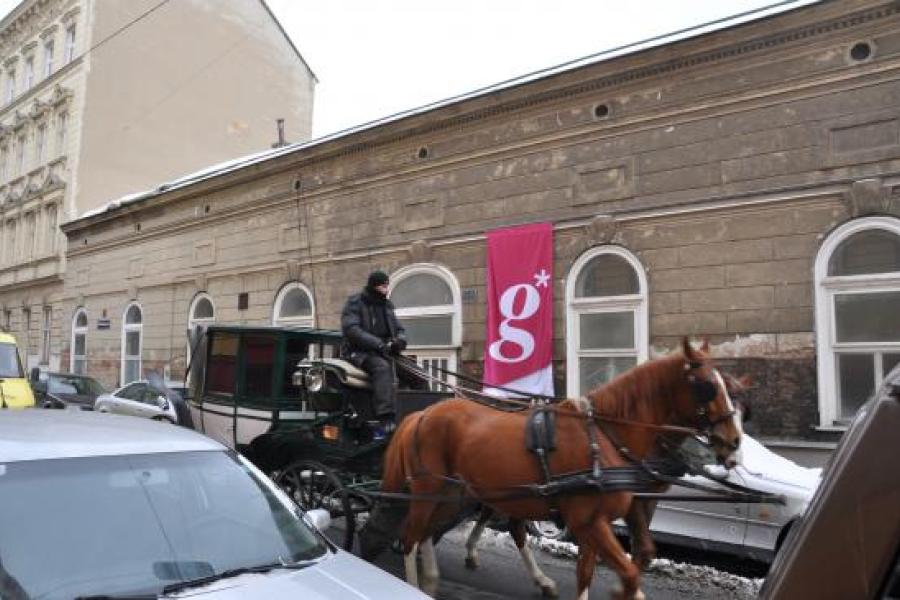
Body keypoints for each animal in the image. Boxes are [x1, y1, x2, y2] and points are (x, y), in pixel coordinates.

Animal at [370, 340, 740, 596]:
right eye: (706, 386)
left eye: (728, 385)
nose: (734, 441)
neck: (604, 434)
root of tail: (421, 414)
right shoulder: (589, 521)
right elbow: (629, 573)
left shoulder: (595, 523)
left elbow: (588, 573)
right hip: (429, 490)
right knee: (410, 536)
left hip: (454, 494)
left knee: (428, 533)